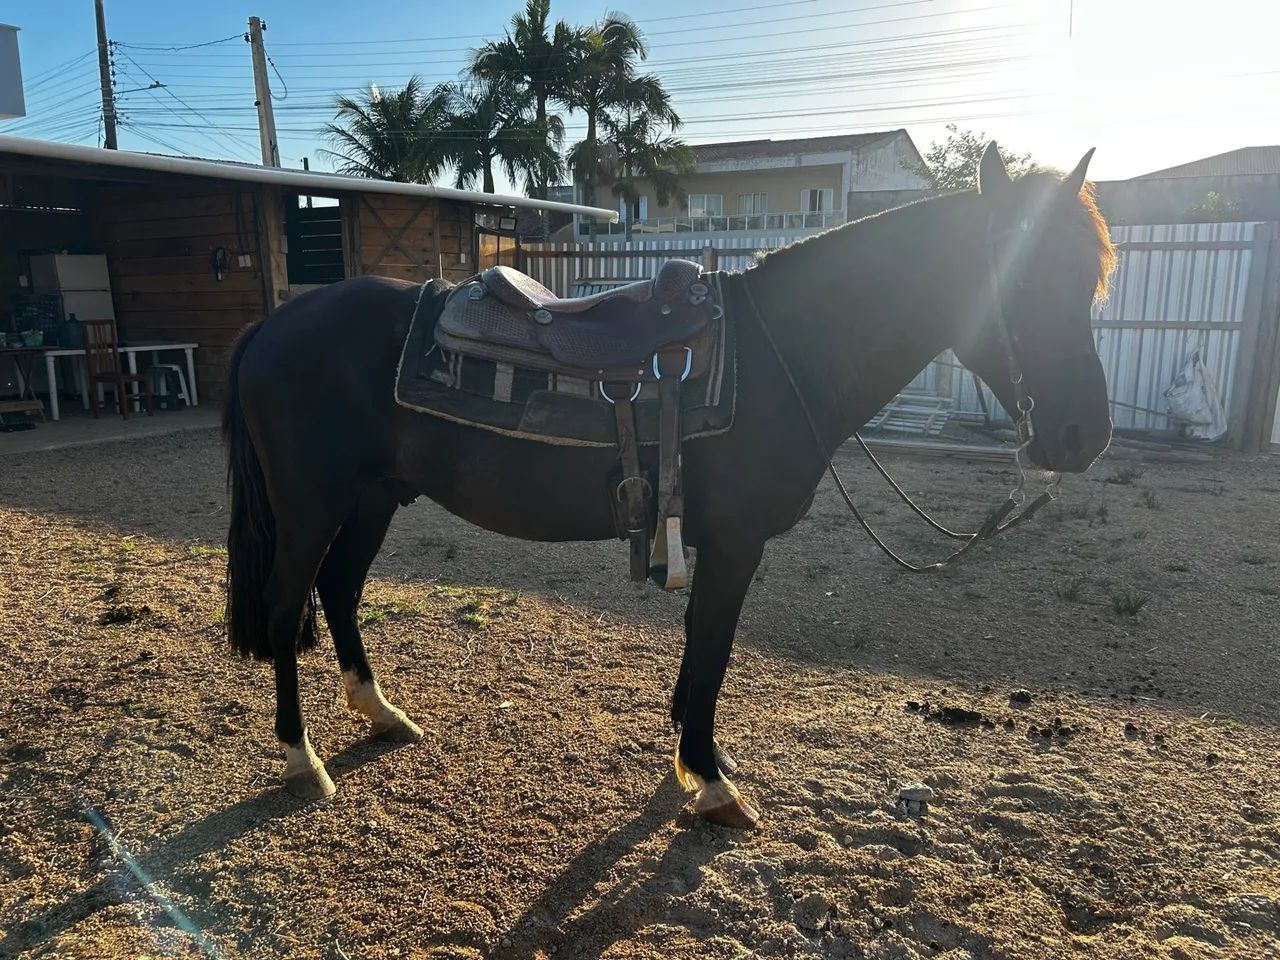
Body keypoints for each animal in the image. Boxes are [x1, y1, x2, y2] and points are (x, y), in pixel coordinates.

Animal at [221, 144, 1115, 828]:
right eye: (1023, 280)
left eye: (1089, 281)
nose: (1084, 436)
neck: (781, 351)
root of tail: (272, 325)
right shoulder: (736, 543)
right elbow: (712, 648)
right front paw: (712, 782)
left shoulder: (708, 540)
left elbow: (698, 647)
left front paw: (692, 760)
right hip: (310, 507)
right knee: (286, 605)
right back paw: (302, 759)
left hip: (373, 499)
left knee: (338, 591)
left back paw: (381, 716)